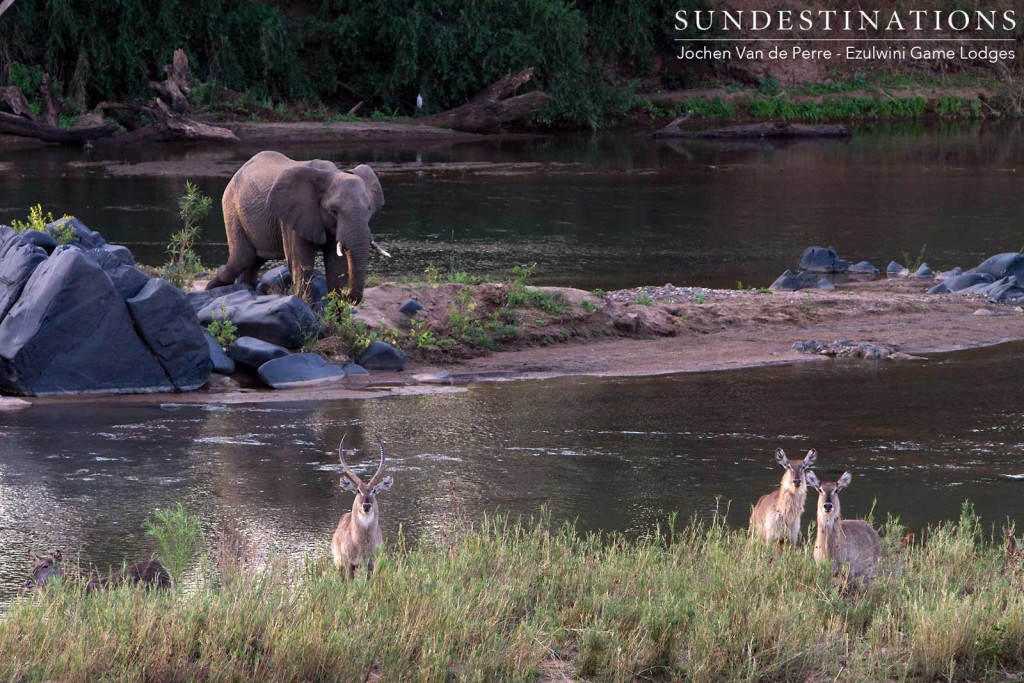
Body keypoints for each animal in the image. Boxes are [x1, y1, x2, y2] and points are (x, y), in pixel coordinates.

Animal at [204, 150, 387, 303]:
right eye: (334, 211)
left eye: (369, 209)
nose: (349, 298)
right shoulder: (292, 214)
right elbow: (301, 263)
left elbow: (337, 265)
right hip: (231, 206)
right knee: (243, 258)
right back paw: (210, 289)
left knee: (254, 260)